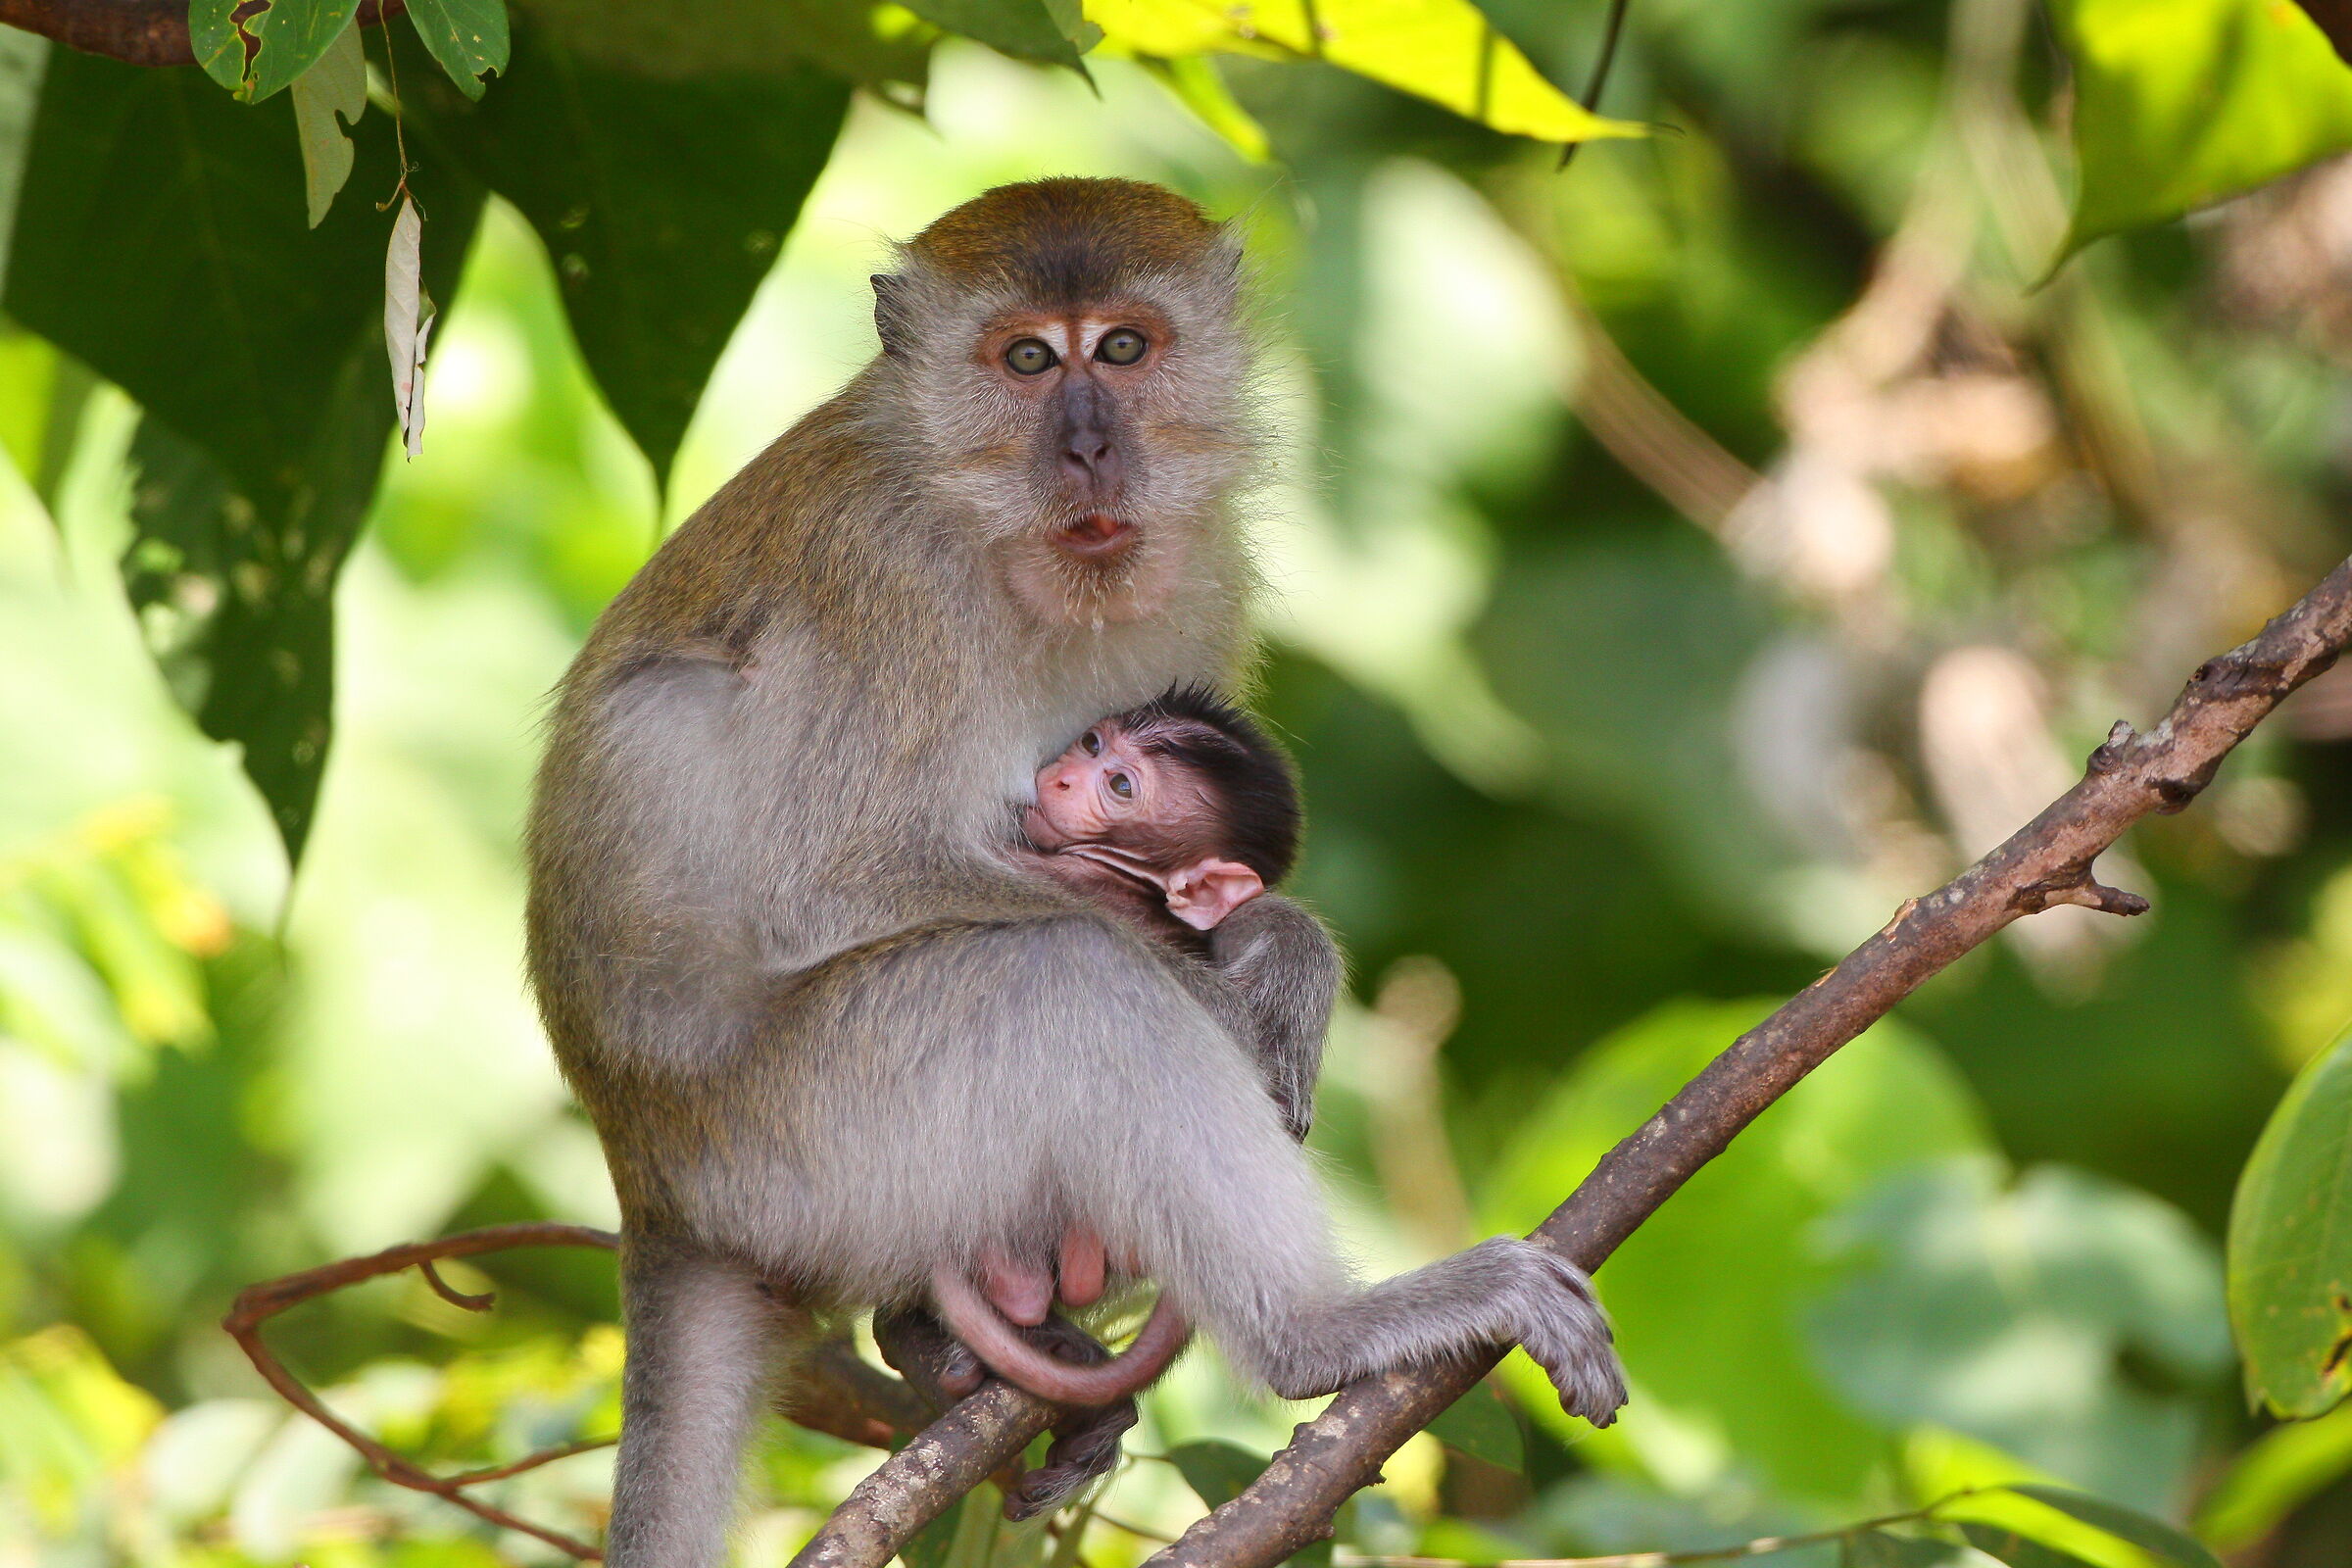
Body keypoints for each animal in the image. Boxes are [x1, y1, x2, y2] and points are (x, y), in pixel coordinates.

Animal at [525, 178, 1626, 1567]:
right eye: (1028, 362)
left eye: (1123, 348)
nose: (1092, 447)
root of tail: (650, 1187)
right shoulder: (888, 587)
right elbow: (834, 882)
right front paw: (1237, 987)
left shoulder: (1196, 566)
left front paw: (1283, 954)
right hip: (801, 1145)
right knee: (1063, 979)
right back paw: (1314, 1334)